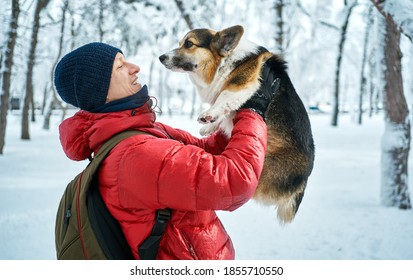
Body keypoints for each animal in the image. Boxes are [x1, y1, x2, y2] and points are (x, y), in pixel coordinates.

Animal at [159, 25, 314, 224]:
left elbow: (225, 97)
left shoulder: (244, 83)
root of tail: (304, 180)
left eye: (189, 44)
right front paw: (210, 126)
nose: (161, 57)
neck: (225, 61)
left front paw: (208, 115)